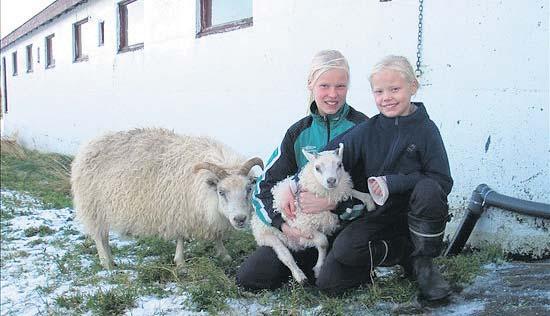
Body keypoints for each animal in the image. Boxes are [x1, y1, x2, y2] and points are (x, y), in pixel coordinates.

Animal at [70, 128, 264, 270]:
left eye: (249, 188)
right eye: (221, 192)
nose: (240, 219)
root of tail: (87, 147)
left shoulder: (207, 214)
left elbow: (217, 235)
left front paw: (224, 255)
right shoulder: (178, 210)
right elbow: (180, 237)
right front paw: (180, 261)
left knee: (104, 237)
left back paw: (111, 260)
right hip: (93, 207)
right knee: (99, 236)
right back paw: (107, 262)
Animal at [252, 144, 378, 282]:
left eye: (339, 164)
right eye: (317, 168)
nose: (331, 180)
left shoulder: (340, 191)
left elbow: (351, 191)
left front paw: (370, 202)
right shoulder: (302, 227)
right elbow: (323, 242)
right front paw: (318, 268)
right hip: (267, 235)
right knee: (285, 255)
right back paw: (300, 276)